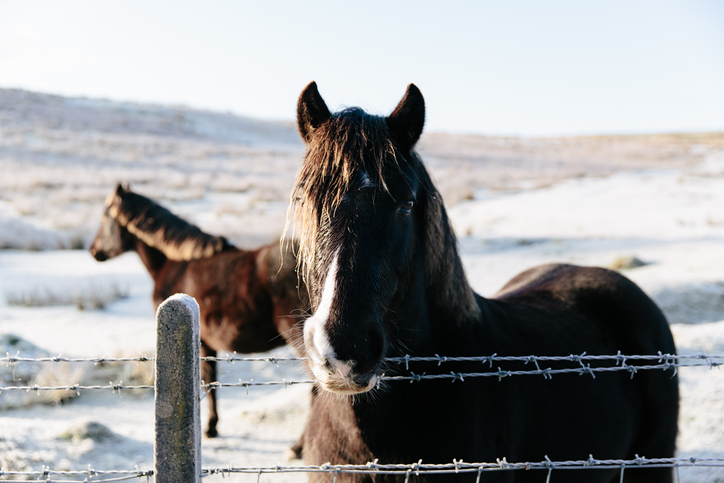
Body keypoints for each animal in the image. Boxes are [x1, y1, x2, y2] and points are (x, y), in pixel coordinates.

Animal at [90, 184, 308, 441]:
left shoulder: (201, 341)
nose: (94, 250)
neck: (176, 262)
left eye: (106, 215)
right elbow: (211, 381)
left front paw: (210, 428)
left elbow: (207, 381)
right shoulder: (208, 344)